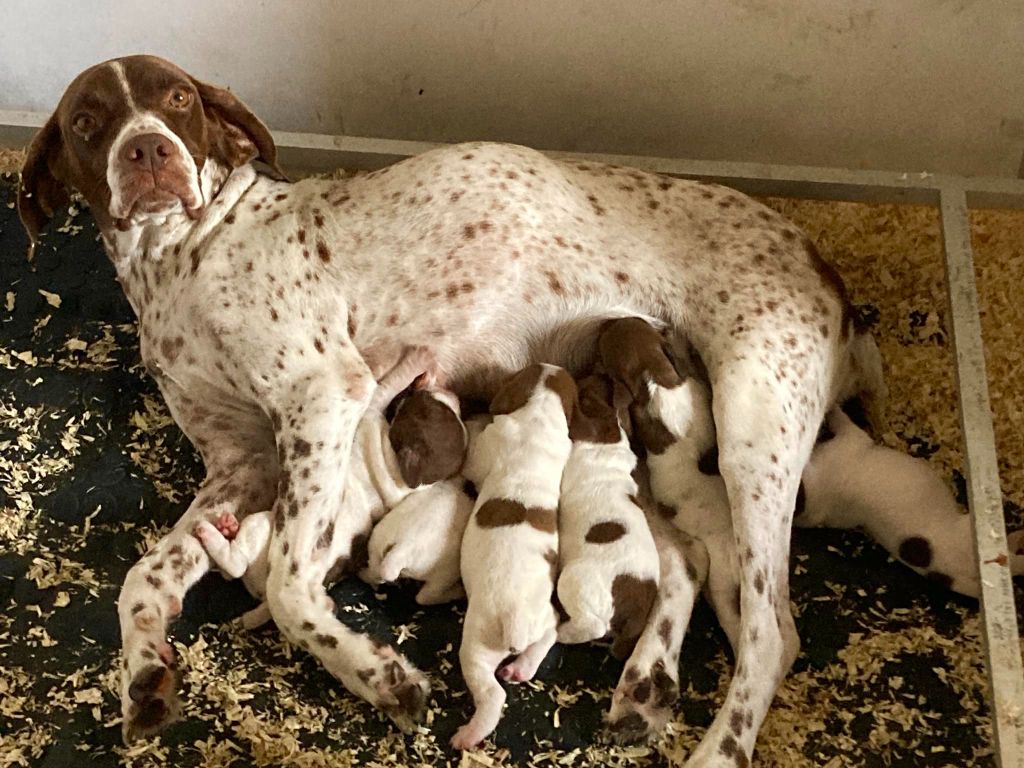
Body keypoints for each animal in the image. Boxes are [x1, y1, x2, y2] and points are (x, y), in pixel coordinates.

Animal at [450, 364, 577, 753]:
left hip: (476, 647)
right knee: (550, 631)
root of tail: (516, 619)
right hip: (541, 617)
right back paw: (523, 667)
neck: (540, 411)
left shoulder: (485, 448)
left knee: (493, 696)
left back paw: (468, 735)